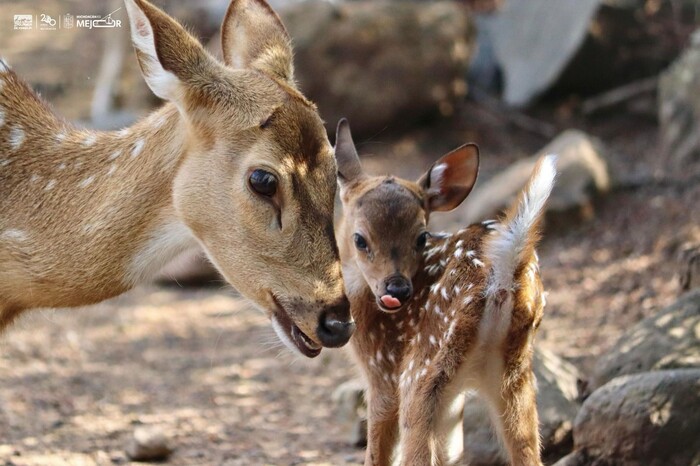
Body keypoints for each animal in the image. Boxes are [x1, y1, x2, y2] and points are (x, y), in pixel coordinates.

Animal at [334, 120, 556, 466]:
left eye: (421, 237)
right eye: (360, 239)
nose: (397, 289)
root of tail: (503, 274)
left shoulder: (382, 372)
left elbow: (377, 452)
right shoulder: (452, 398)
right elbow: (451, 451)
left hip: (421, 367)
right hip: (514, 371)